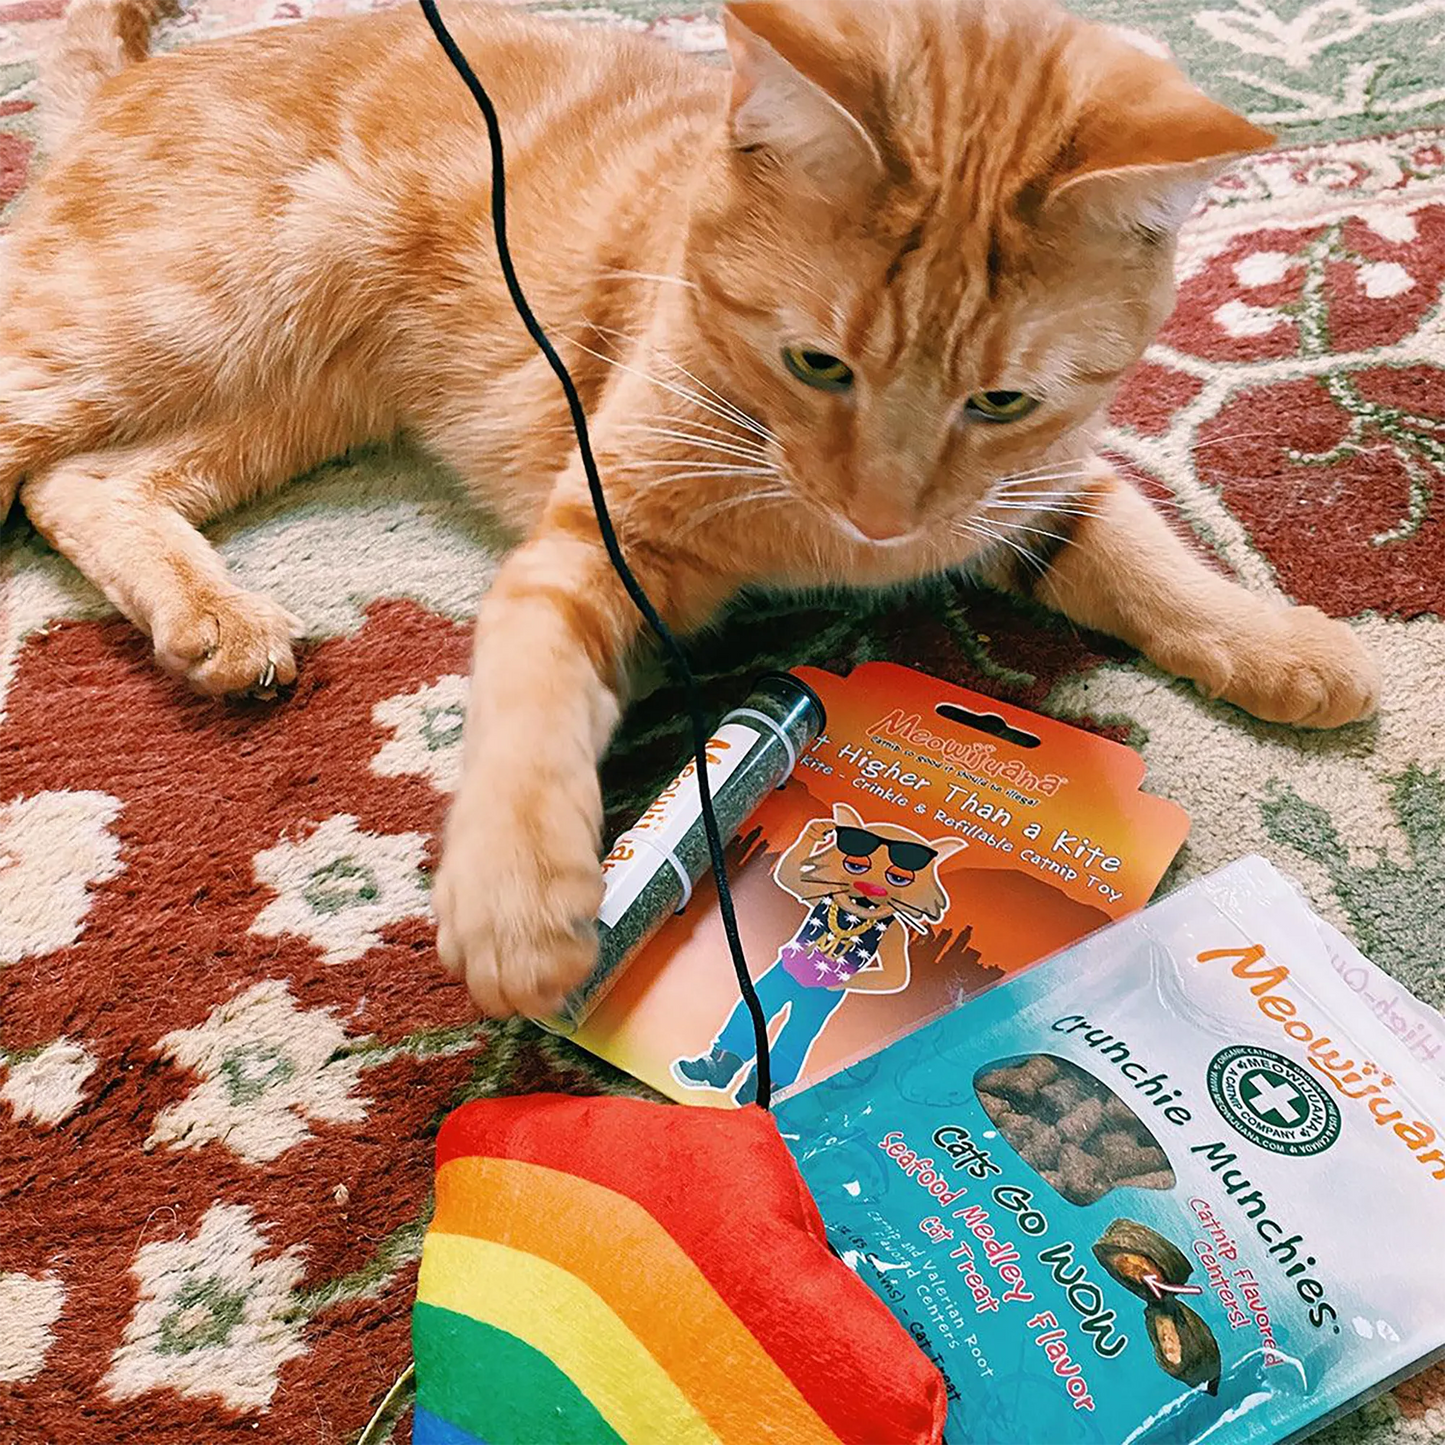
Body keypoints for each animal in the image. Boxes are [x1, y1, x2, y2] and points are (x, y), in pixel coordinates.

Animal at [0, 0, 1375, 1017]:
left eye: (998, 399)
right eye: (817, 362)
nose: (881, 520)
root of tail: (137, 80)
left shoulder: (1032, 489)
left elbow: (1145, 551)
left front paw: (1278, 642)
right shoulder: (597, 540)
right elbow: (532, 702)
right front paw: (519, 896)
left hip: (292, 388)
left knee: (86, 480)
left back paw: (212, 622)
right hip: (172, 318)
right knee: (39, 456)